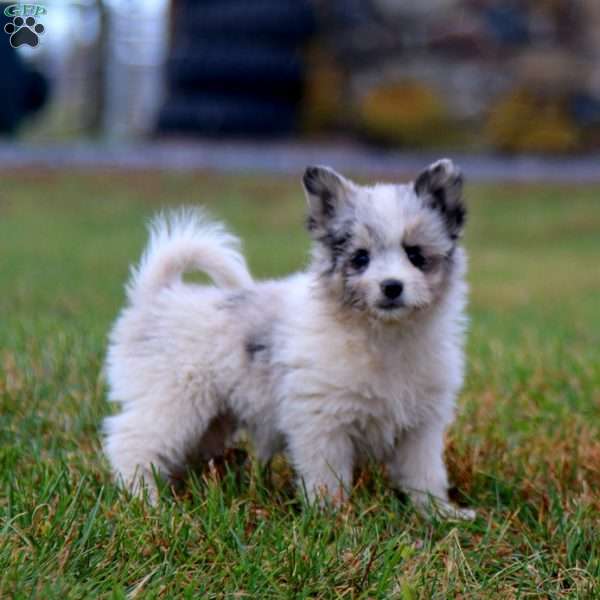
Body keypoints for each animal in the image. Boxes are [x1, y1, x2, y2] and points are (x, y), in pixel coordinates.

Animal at [105, 159, 476, 520]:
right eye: (360, 258)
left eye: (415, 255)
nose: (392, 286)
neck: (383, 335)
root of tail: (158, 295)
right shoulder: (322, 423)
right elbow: (327, 478)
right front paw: (332, 519)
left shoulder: (421, 427)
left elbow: (424, 474)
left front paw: (437, 513)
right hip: (173, 401)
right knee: (131, 441)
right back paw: (146, 502)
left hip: (211, 418)